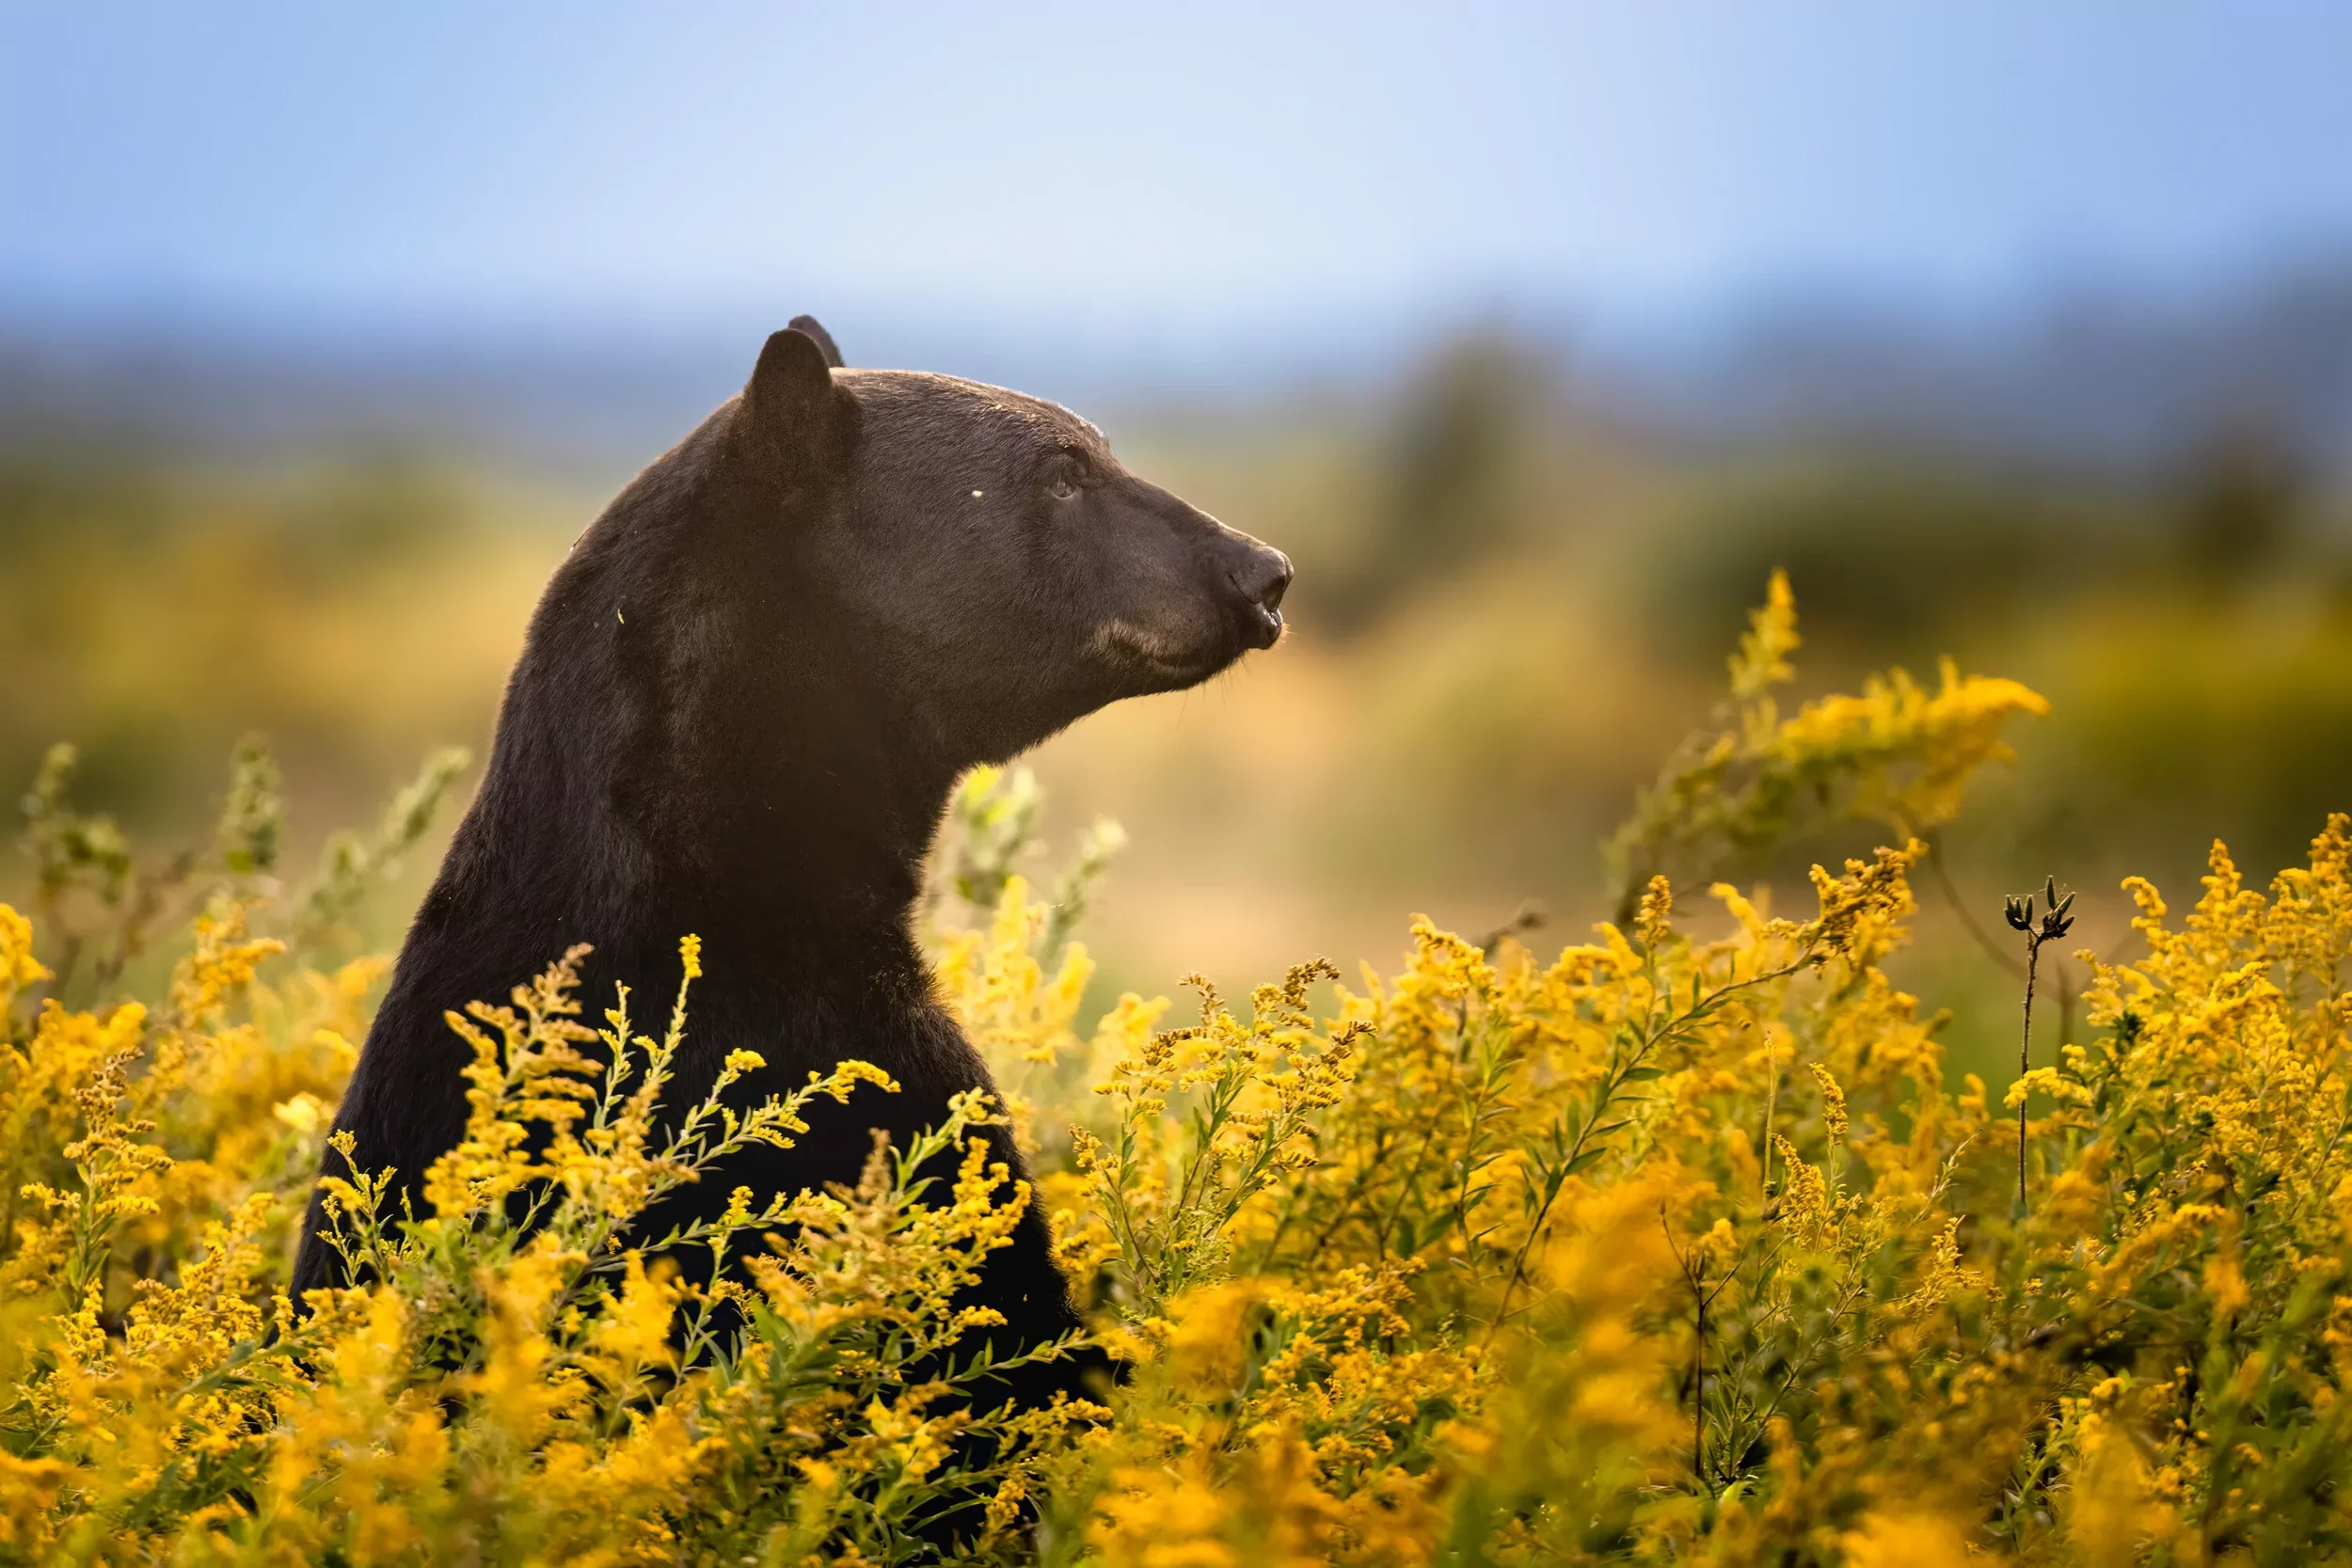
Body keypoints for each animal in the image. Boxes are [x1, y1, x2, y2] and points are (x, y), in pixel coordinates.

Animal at [291, 317, 1292, 1409]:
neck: (723, 871)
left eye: (1095, 451)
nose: (1264, 571)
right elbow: (999, 1312)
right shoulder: (823, 1078)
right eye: (1064, 472)